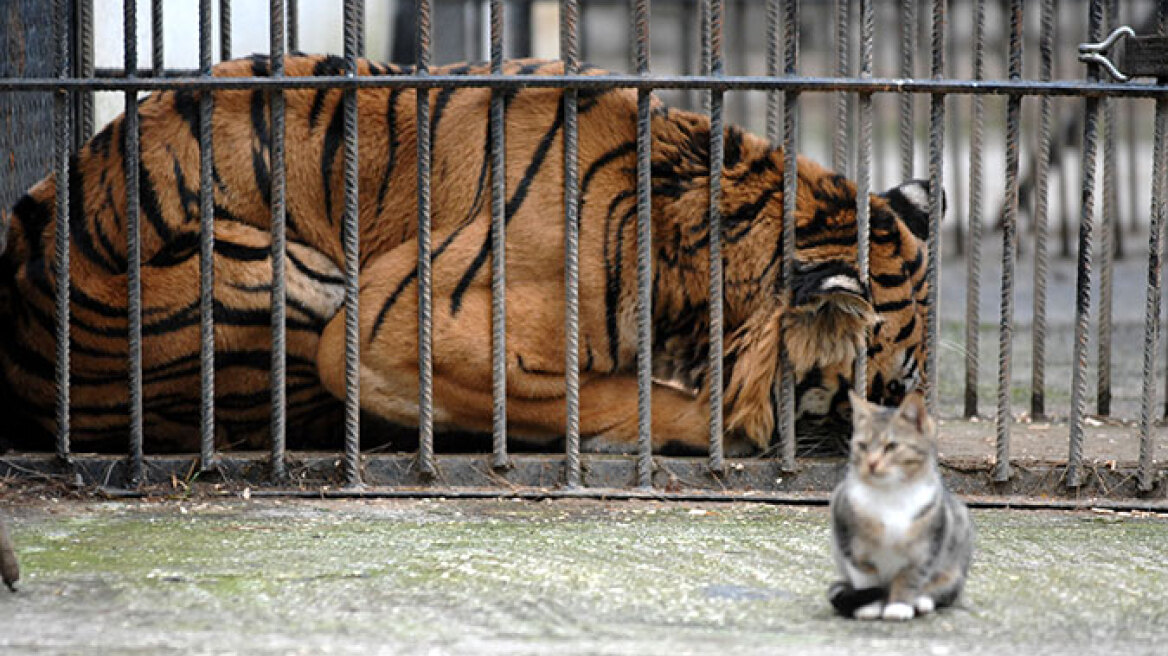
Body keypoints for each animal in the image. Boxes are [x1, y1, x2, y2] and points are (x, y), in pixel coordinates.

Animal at [826, 389, 971, 620]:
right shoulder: (850, 541)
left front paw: (899, 606)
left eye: (891, 446)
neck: (891, 494)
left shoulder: (925, 549)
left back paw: (922, 601)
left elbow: (910, 578)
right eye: (862, 446)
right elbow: (866, 577)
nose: (871, 463)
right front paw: (869, 607)